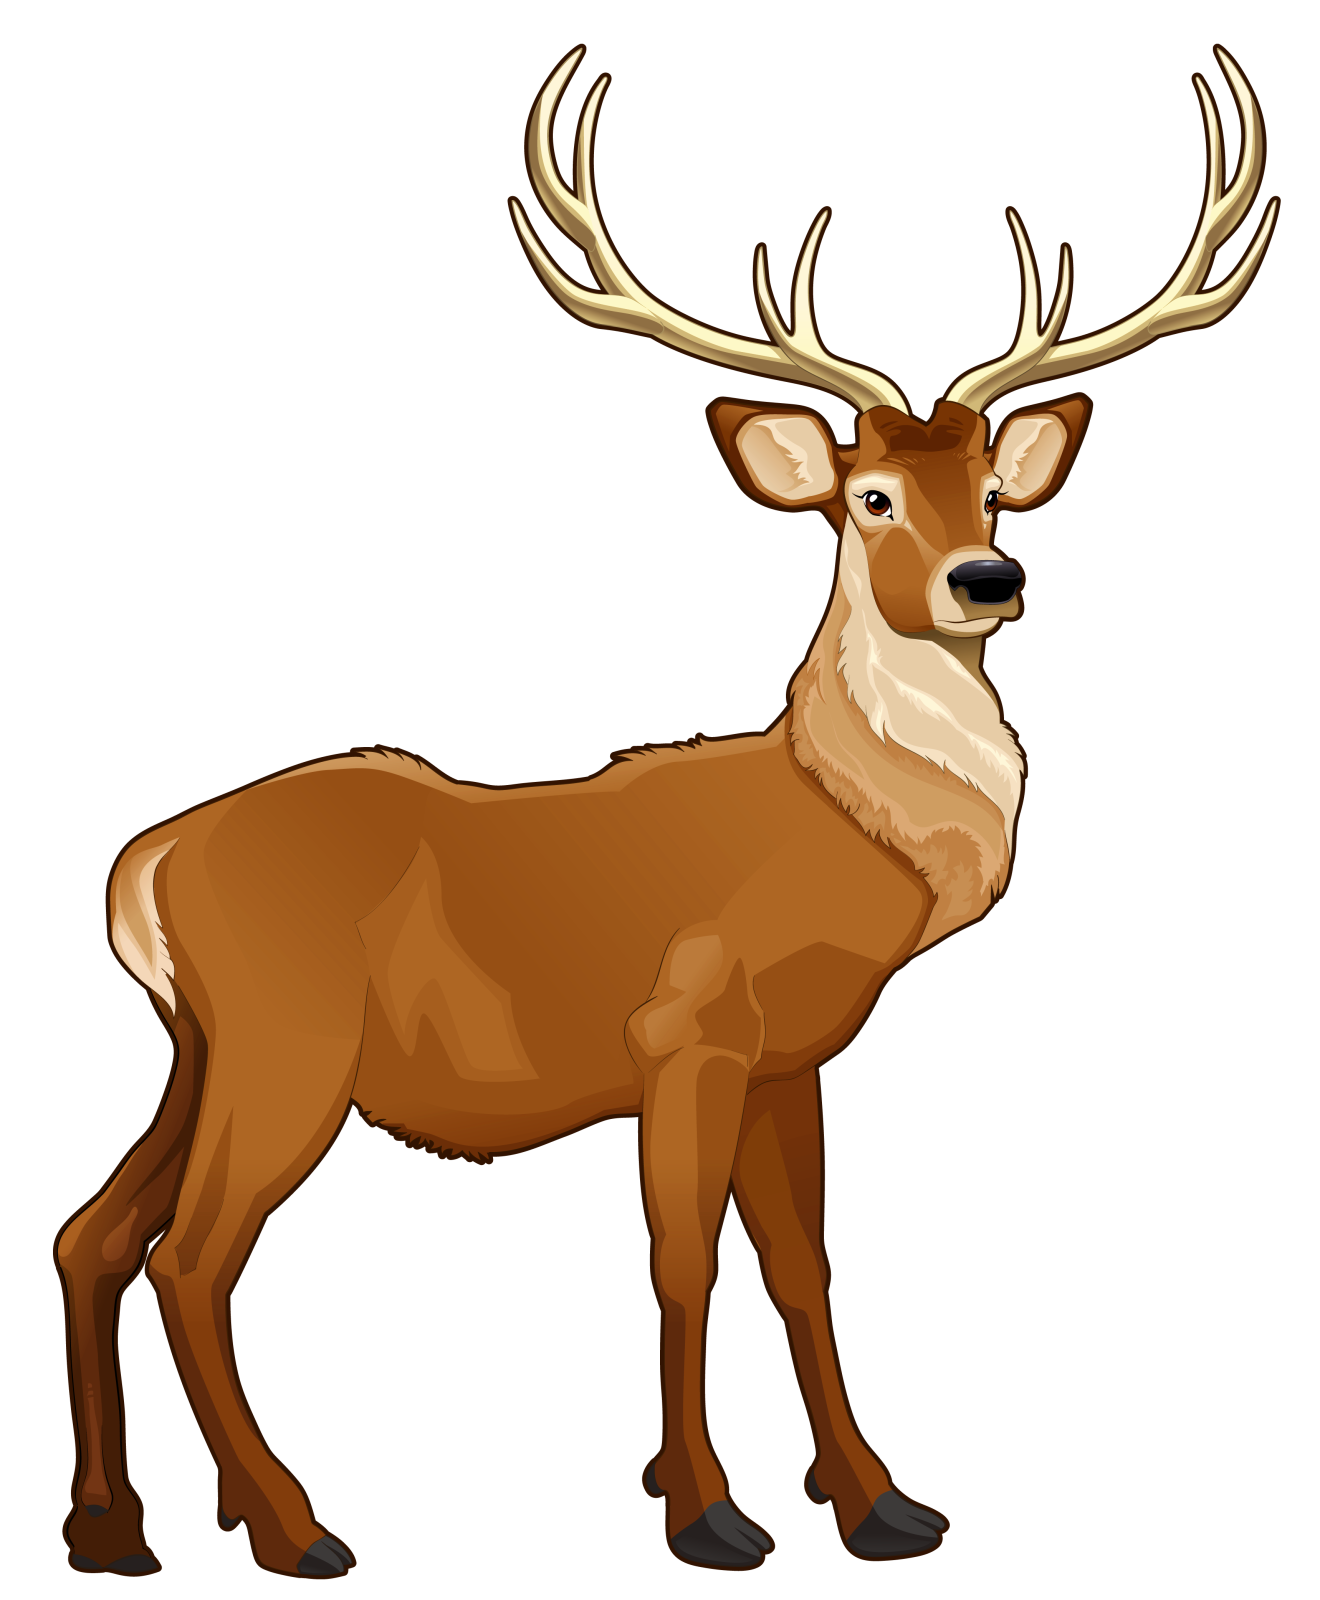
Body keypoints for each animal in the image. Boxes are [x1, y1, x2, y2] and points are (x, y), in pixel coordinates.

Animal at [57, 41, 1277, 1577]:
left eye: (994, 490)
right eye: (870, 497)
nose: (986, 580)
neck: (846, 842)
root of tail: (149, 861)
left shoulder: (793, 1057)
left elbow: (803, 1264)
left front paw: (877, 1502)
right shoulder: (687, 1027)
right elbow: (682, 1259)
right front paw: (705, 1512)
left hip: (197, 1042)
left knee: (94, 1235)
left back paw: (114, 1527)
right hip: (289, 1039)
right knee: (190, 1254)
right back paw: (292, 1526)